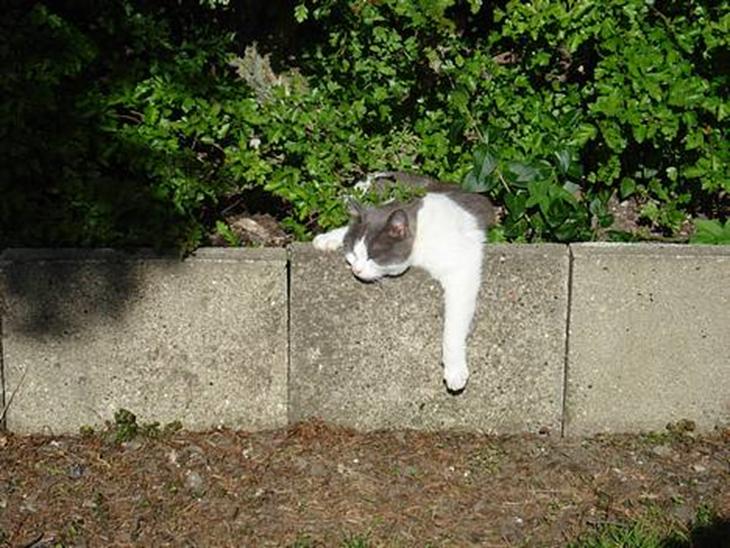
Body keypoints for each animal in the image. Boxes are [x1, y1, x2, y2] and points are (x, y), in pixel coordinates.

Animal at [313, 171, 496, 392]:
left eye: (372, 257)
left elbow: (453, 326)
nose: (356, 269)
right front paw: (331, 237)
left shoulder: (462, 267)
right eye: (353, 254)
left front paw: (454, 370)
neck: (421, 237)